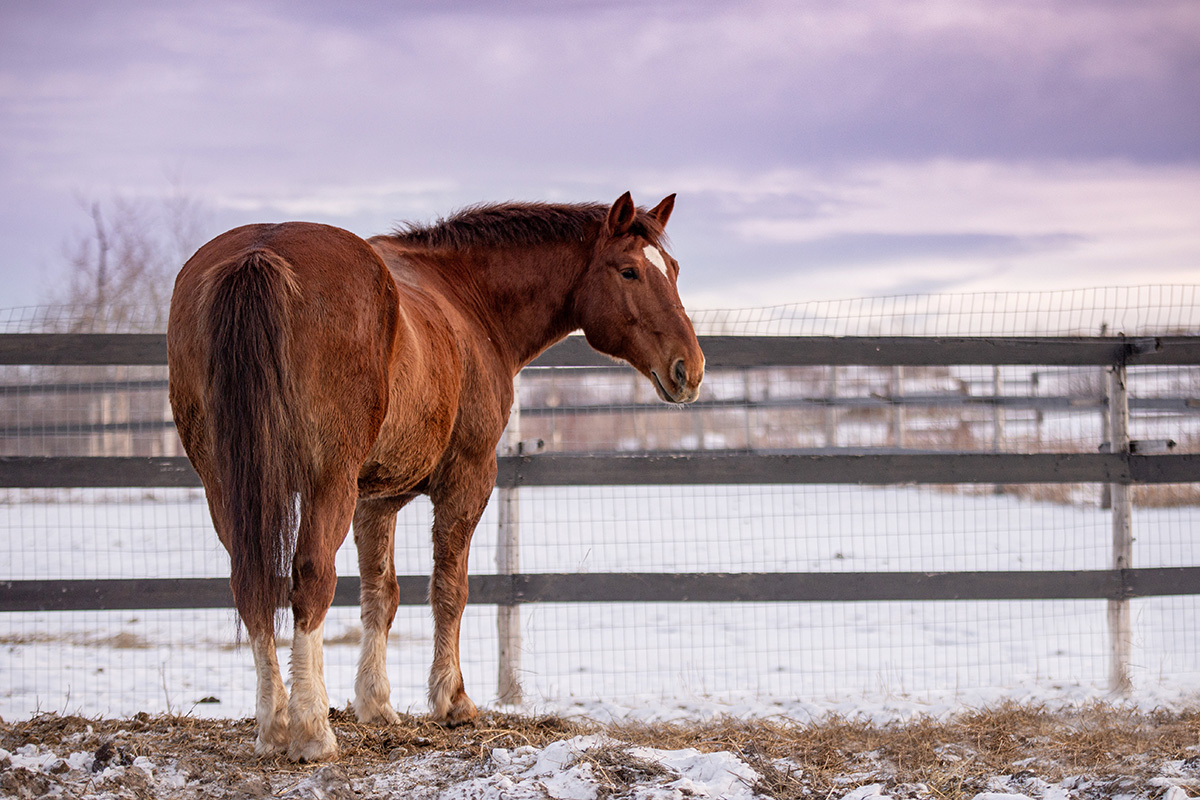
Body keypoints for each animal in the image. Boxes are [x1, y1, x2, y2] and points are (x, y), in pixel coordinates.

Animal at [171, 191, 710, 758]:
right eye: (629, 271)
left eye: (672, 270)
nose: (689, 368)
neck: (467, 297)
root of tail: (261, 251)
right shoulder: (467, 479)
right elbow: (450, 590)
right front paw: (452, 699)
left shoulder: (373, 500)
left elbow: (381, 594)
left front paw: (375, 703)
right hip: (325, 484)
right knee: (311, 581)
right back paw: (311, 728)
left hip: (226, 487)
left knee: (250, 583)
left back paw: (272, 724)